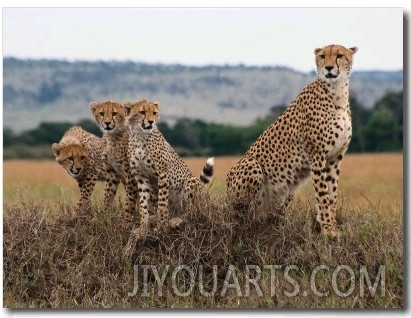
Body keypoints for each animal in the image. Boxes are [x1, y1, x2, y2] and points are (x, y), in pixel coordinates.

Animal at [124, 99, 216, 236]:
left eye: (154, 113)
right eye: (142, 112)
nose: (151, 121)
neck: (140, 136)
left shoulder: (162, 174)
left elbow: (162, 204)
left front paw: (161, 227)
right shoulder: (141, 177)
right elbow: (143, 205)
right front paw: (143, 228)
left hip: (191, 183)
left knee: (193, 213)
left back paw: (176, 221)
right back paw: (156, 219)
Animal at [227, 44, 358, 238]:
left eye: (339, 55)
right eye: (322, 56)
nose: (328, 68)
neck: (337, 92)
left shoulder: (335, 157)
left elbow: (331, 195)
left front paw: (331, 226)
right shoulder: (317, 155)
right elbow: (322, 194)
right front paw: (327, 229)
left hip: (288, 192)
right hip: (252, 167)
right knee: (242, 214)